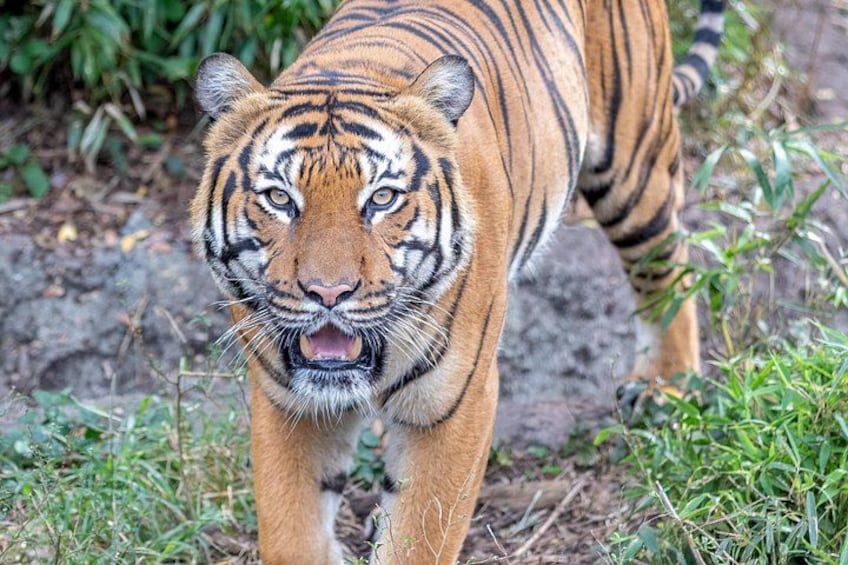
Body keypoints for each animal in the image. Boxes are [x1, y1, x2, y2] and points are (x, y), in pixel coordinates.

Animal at [190, 0, 724, 562]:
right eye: (279, 197)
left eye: (382, 198)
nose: (328, 293)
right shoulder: (287, 404)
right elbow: (293, 533)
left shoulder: (453, 404)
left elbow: (420, 536)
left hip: (633, 164)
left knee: (669, 261)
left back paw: (666, 386)